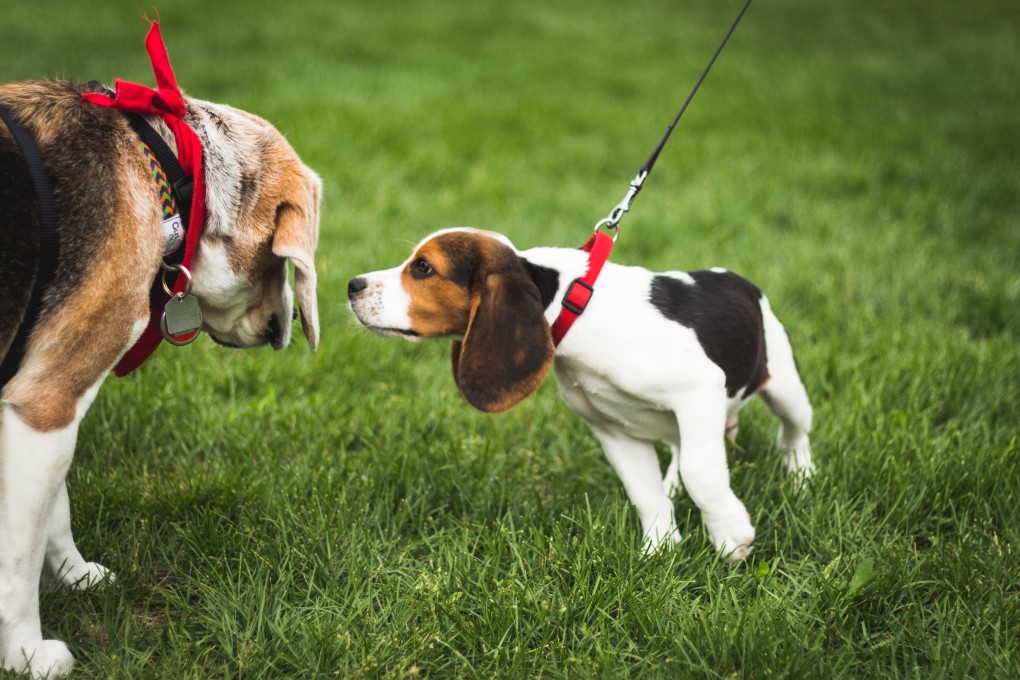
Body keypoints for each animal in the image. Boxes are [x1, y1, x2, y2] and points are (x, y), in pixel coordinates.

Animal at [0, 78, 318, 676]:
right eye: (276, 262)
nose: (282, 325)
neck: (168, 161)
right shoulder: (46, 403)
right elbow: (19, 558)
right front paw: (27, 654)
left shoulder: (41, 408)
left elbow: (56, 513)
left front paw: (75, 576)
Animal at [350, 231, 811, 562]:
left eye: (423, 267)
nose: (353, 284)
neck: (573, 308)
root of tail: (737, 279)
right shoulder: (612, 430)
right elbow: (645, 493)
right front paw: (659, 551)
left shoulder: (699, 389)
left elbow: (703, 474)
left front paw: (730, 536)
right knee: (682, 452)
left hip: (784, 387)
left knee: (792, 433)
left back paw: (801, 479)